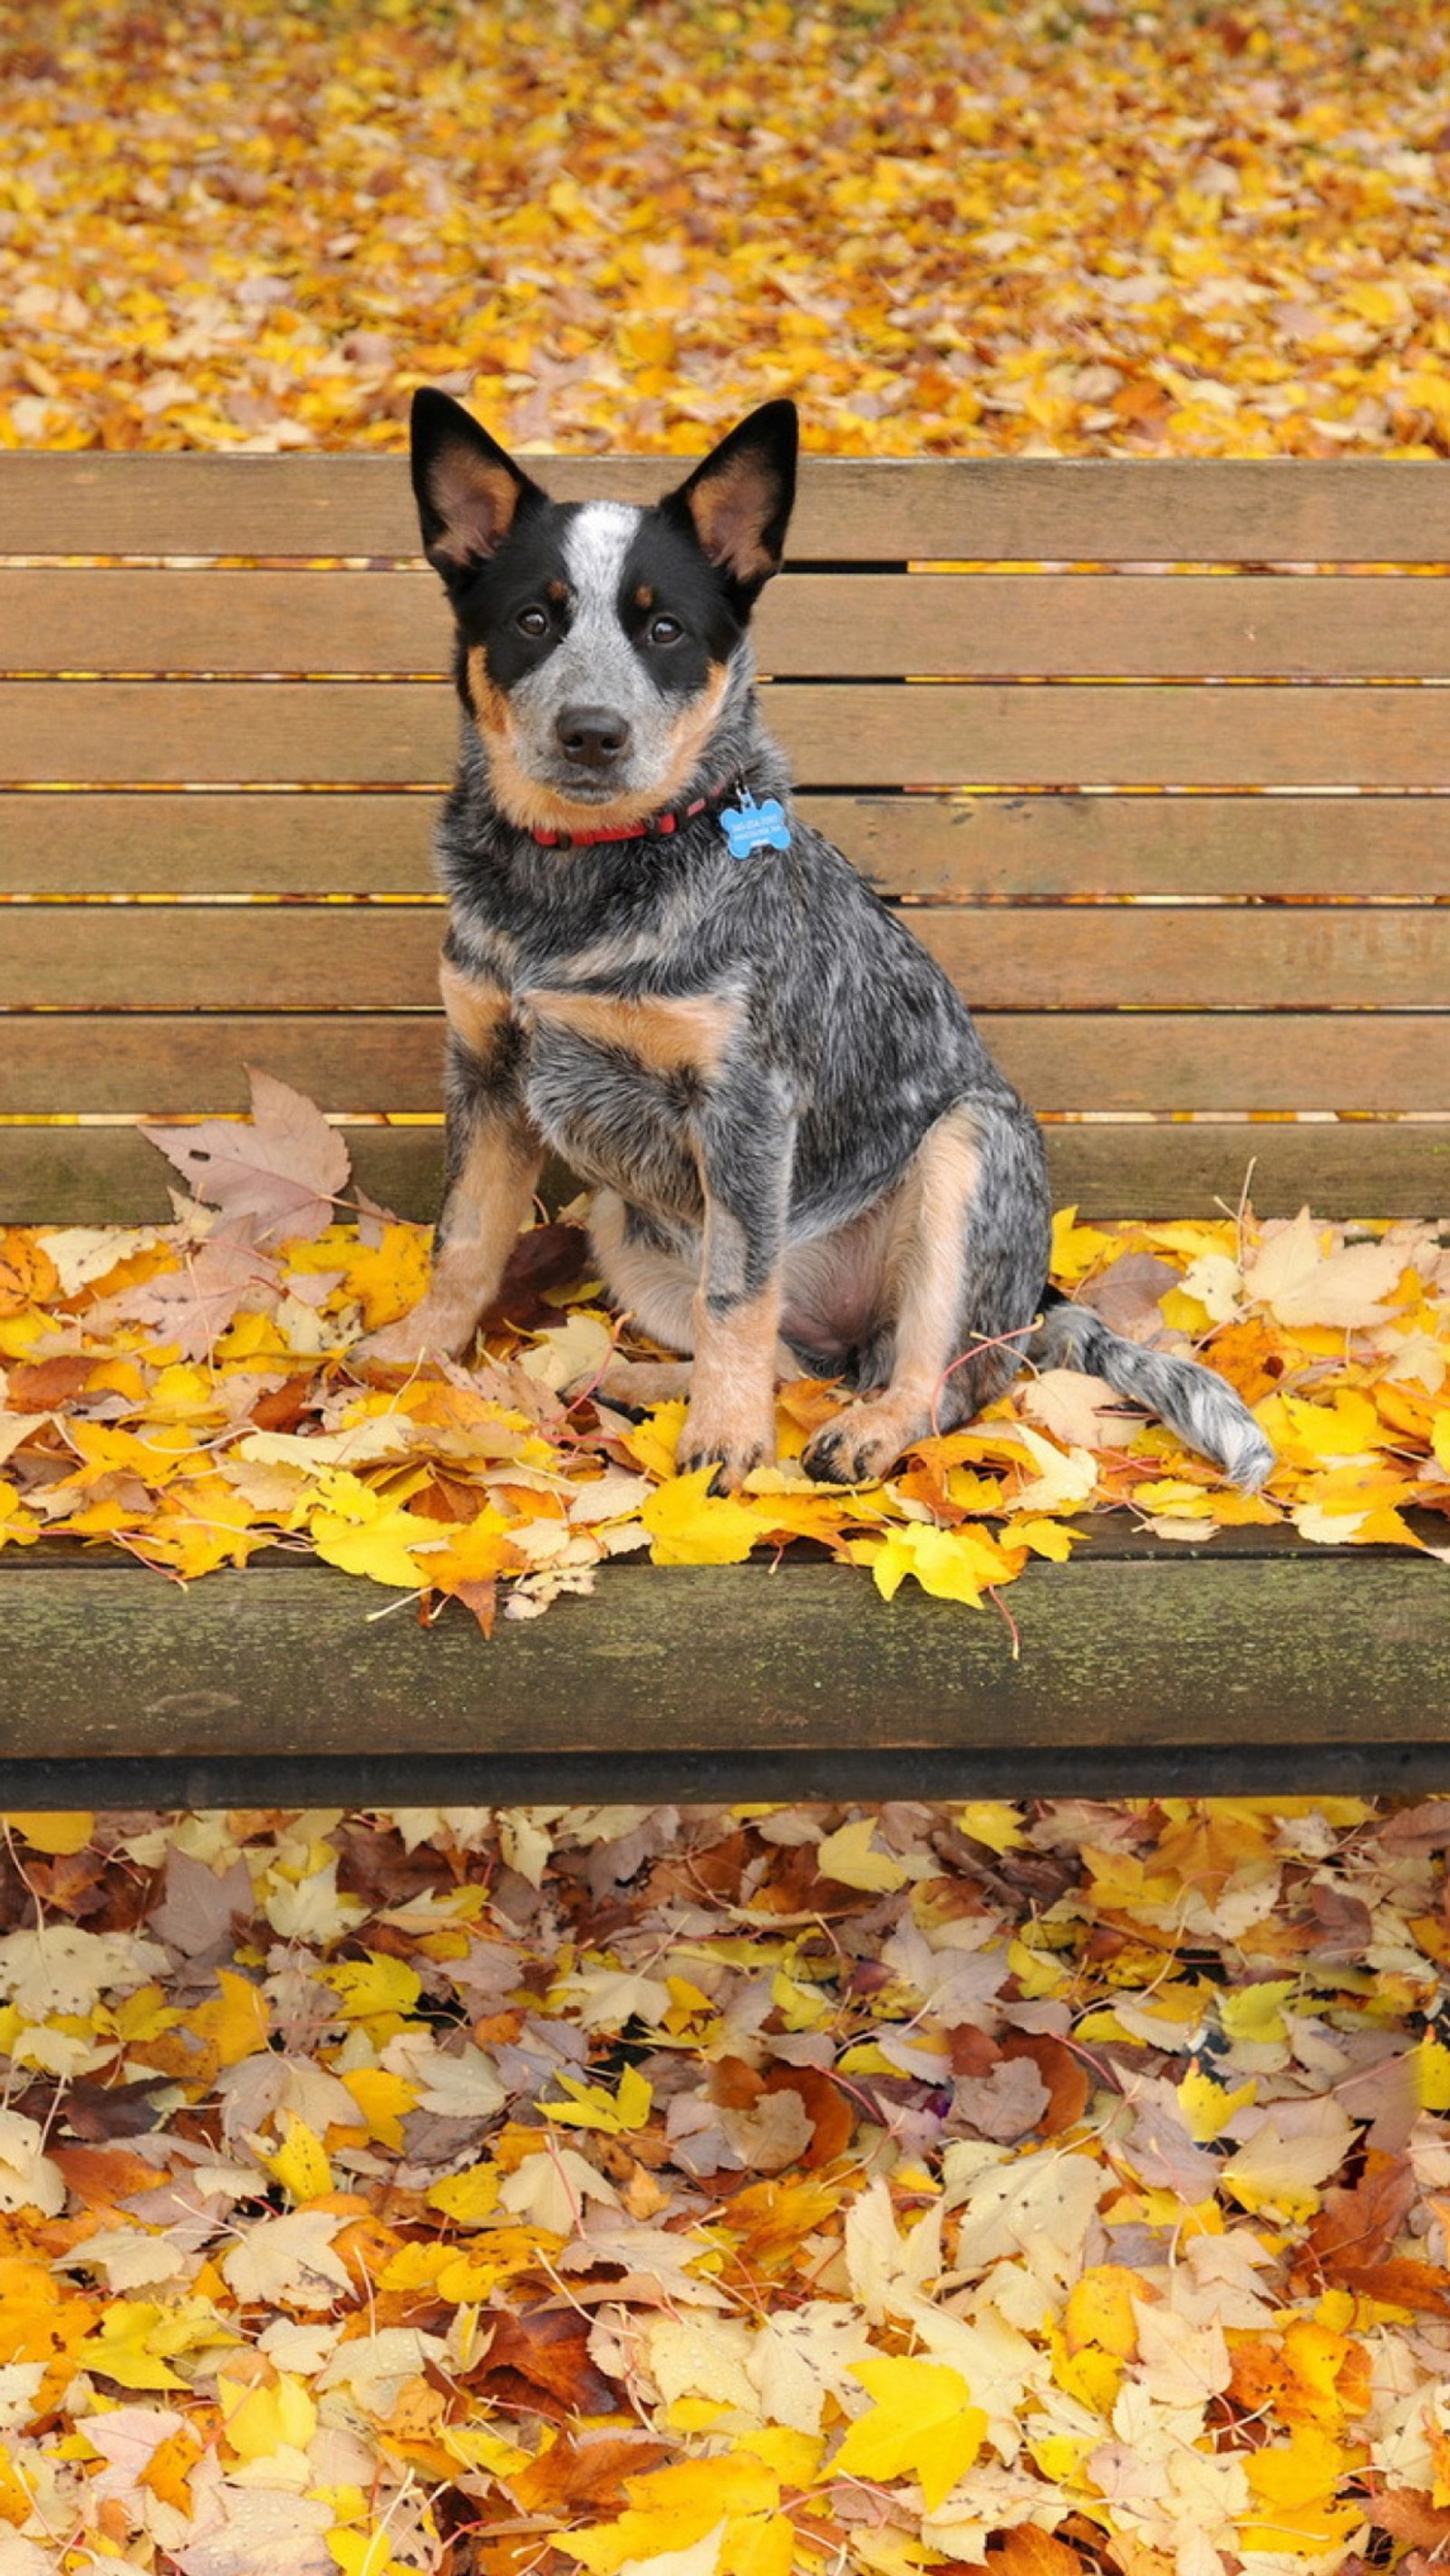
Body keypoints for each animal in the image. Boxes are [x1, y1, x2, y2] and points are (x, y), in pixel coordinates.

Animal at [362, 391, 1271, 1504]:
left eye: (664, 628)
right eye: (534, 619)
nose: (592, 731)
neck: (575, 885)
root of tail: (1035, 1299)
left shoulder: (748, 1105)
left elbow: (735, 1297)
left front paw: (725, 1445)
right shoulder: (488, 1070)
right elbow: (464, 1239)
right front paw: (414, 1355)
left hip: (969, 1152)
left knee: (941, 1380)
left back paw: (863, 1430)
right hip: (621, 1220)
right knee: (795, 1362)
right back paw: (639, 1382)